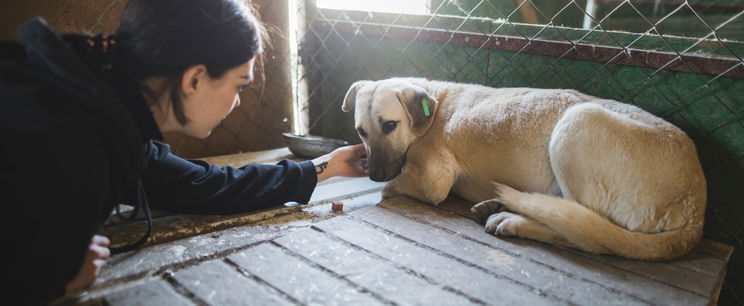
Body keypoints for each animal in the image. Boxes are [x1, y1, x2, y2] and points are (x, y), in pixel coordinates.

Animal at [340, 77, 708, 260]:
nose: (373, 174)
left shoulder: (432, 180)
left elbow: (395, 186)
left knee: (584, 233)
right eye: (361, 131)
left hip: (578, 123)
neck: (434, 107)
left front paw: (385, 187)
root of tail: (696, 209)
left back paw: (513, 220)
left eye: (390, 125)